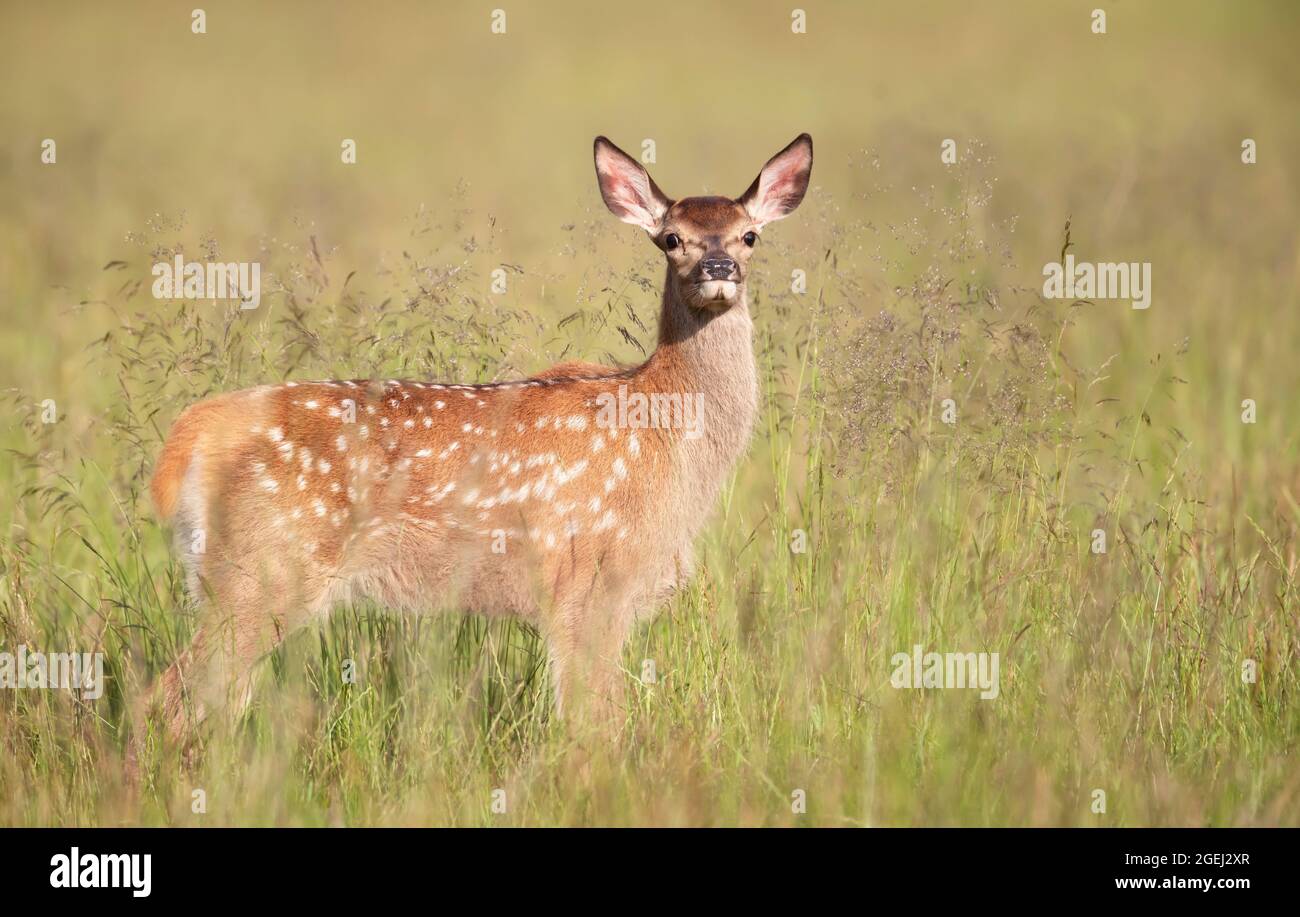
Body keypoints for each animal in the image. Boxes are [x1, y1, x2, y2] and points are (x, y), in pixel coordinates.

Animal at [142, 134, 813, 749]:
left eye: (750, 235)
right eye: (671, 238)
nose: (719, 269)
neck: (666, 432)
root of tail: (194, 435)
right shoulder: (588, 580)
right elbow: (593, 720)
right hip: (263, 570)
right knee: (168, 696)